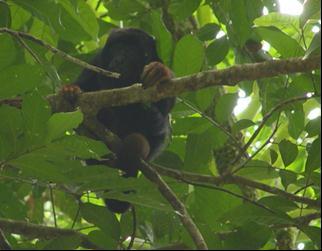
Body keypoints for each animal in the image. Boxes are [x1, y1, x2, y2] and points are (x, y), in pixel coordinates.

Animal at [63, 28, 175, 213]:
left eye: (131, 51)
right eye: (117, 48)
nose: (119, 59)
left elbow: (166, 107)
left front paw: (160, 73)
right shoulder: (97, 62)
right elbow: (83, 84)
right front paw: (71, 90)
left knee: (156, 124)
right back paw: (104, 119)